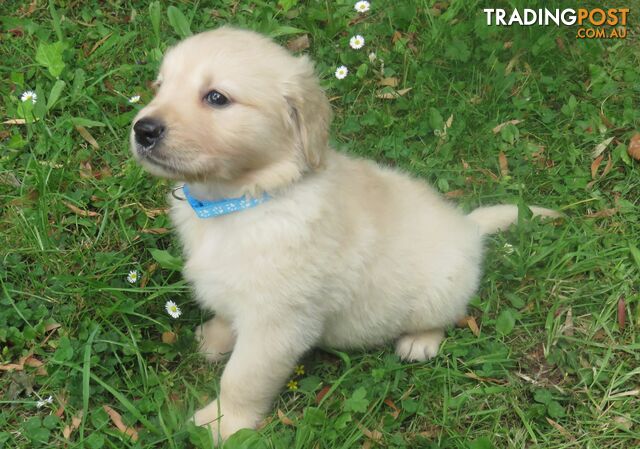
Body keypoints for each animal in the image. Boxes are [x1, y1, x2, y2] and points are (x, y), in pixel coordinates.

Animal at [130, 27, 556, 440]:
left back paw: (419, 341)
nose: (142, 129)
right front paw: (214, 339)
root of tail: (467, 227)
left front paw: (221, 424)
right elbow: (223, 313)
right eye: (160, 86)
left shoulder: (277, 324)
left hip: (440, 291)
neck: (246, 199)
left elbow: (242, 379)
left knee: (445, 316)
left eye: (216, 97)